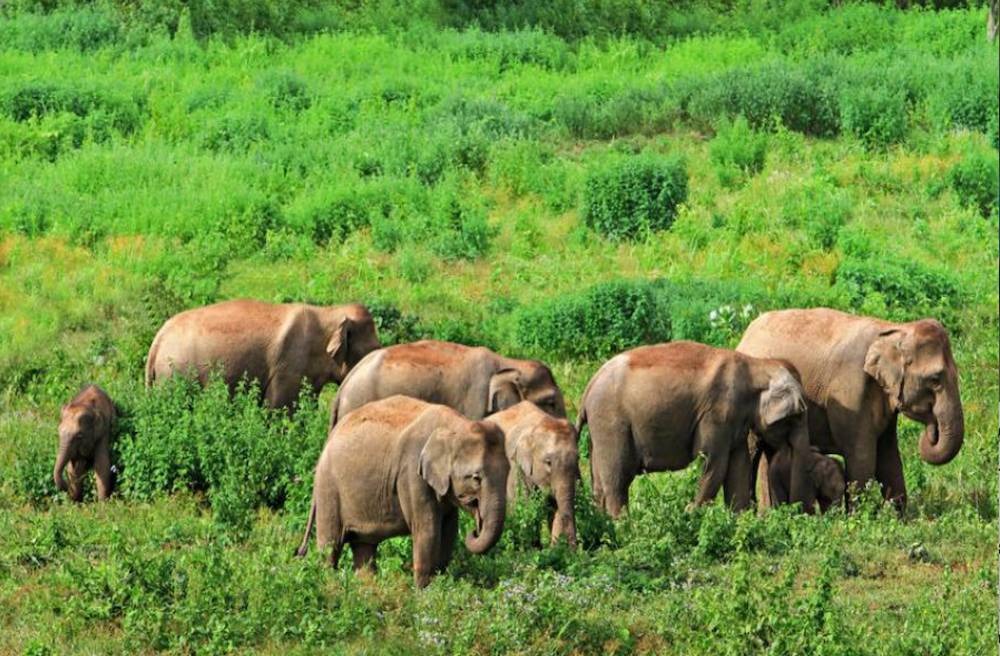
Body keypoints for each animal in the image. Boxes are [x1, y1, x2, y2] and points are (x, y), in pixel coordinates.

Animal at [146, 299, 380, 410]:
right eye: (373, 349)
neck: (329, 312)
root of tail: (157, 340)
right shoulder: (288, 367)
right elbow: (280, 408)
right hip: (175, 375)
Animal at [296, 395, 509, 588]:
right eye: (476, 478)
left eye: (508, 473)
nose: (475, 529)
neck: (457, 424)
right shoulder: (412, 474)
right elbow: (428, 529)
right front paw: (424, 594)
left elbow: (448, 531)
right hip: (328, 488)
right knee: (330, 547)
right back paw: (329, 585)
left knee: (364, 548)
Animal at [488, 401, 580, 547]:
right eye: (548, 462)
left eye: (578, 459)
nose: (575, 549)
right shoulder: (515, 465)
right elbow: (524, 503)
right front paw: (533, 548)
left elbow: (555, 505)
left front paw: (556, 549)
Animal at [576, 341, 814, 518]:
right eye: (798, 416)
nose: (799, 514)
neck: (757, 365)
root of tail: (588, 388)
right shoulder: (717, 413)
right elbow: (712, 462)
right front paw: (690, 514)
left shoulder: (734, 422)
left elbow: (738, 466)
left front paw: (740, 522)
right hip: (611, 423)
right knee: (618, 478)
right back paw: (623, 526)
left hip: (599, 429)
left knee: (600, 484)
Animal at [737, 308, 964, 510]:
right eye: (935, 379)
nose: (932, 428)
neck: (894, 329)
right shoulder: (850, 391)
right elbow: (862, 456)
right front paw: (860, 519)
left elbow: (888, 456)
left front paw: (899, 520)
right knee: (752, 450)